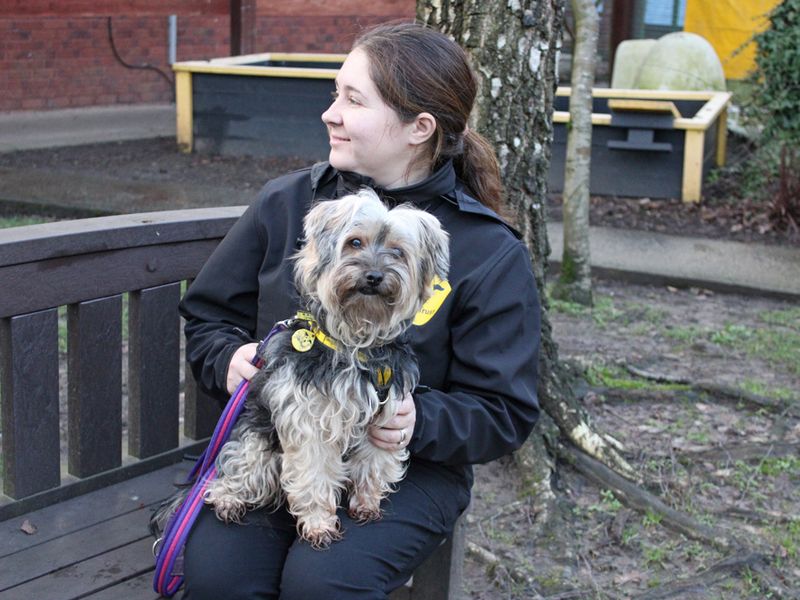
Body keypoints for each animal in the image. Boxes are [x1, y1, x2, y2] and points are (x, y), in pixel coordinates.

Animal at [191, 189, 450, 548]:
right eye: (354, 242)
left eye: (398, 252)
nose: (374, 276)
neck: (356, 342)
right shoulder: (309, 421)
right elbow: (313, 473)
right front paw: (318, 524)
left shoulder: (386, 416)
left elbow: (374, 462)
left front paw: (367, 502)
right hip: (255, 439)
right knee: (239, 466)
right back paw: (228, 497)